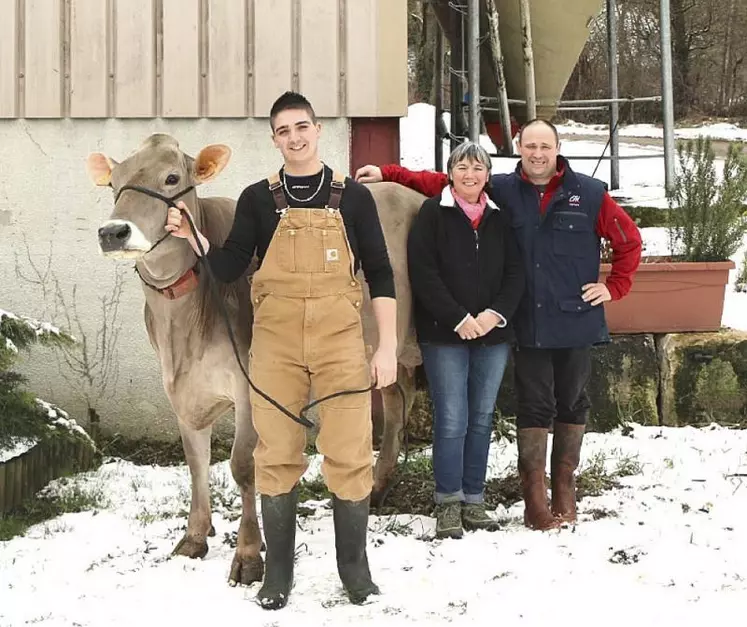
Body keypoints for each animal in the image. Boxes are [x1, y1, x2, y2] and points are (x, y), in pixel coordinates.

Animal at [86, 134, 426, 588]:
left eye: (172, 177)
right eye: (113, 183)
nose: (113, 231)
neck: (183, 326)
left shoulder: (251, 385)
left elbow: (243, 464)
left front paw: (248, 555)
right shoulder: (180, 389)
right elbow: (195, 462)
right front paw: (194, 537)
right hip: (384, 351)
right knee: (395, 398)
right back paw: (379, 485)